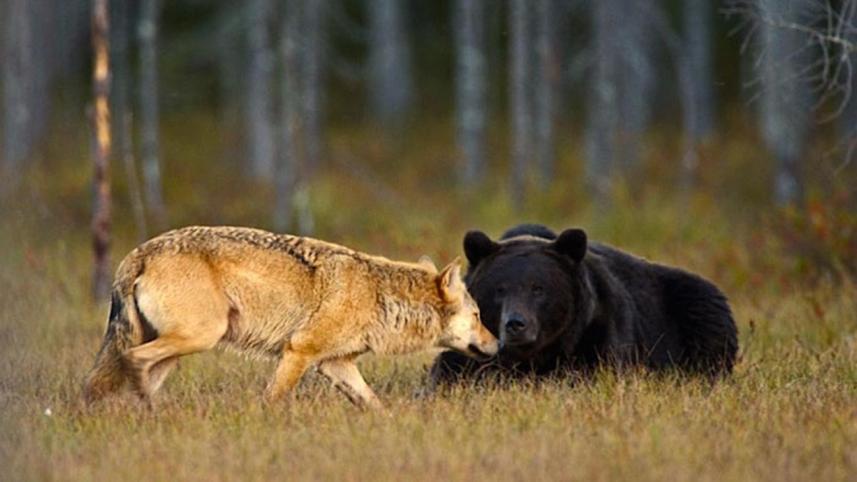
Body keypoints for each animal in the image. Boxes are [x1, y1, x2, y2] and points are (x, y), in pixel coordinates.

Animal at [82, 226, 498, 410]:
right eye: (478, 315)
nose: (499, 342)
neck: (380, 296)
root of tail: (138, 252)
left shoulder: (336, 365)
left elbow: (374, 405)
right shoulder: (299, 352)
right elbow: (273, 399)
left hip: (179, 350)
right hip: (198, 337)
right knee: (133, 360)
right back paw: (147, 410)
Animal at [430, 224, 738, 384]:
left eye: (538, 288)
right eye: (499, 289)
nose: (516, 324)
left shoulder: (596, 336)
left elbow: (589, 375)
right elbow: (451, 373)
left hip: (693, 308)